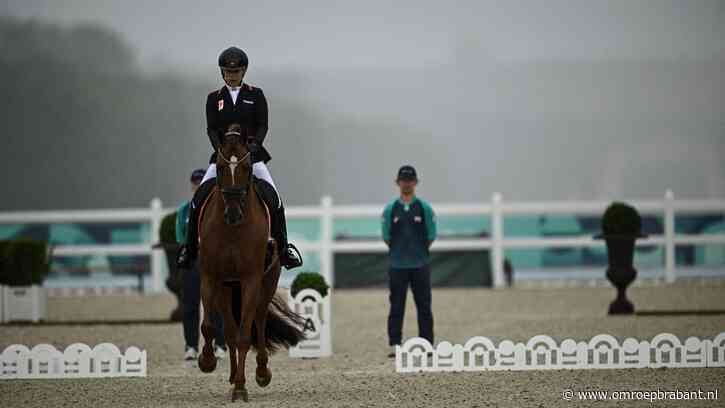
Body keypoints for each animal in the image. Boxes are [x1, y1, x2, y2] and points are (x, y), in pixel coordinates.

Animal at [197, 122, 304, 402]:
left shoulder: (251, 280)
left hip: (266, 281)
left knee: (259, 318)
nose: (233, 214)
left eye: (246, 167)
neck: (232, 231)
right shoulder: (211, 277)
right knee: (230, 331)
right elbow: (210, 326)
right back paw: (233, 375)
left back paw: (261, 373)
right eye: (220, 167)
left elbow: (246, 335)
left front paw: (242, 387)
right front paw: (207, 362)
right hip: (227, 288)